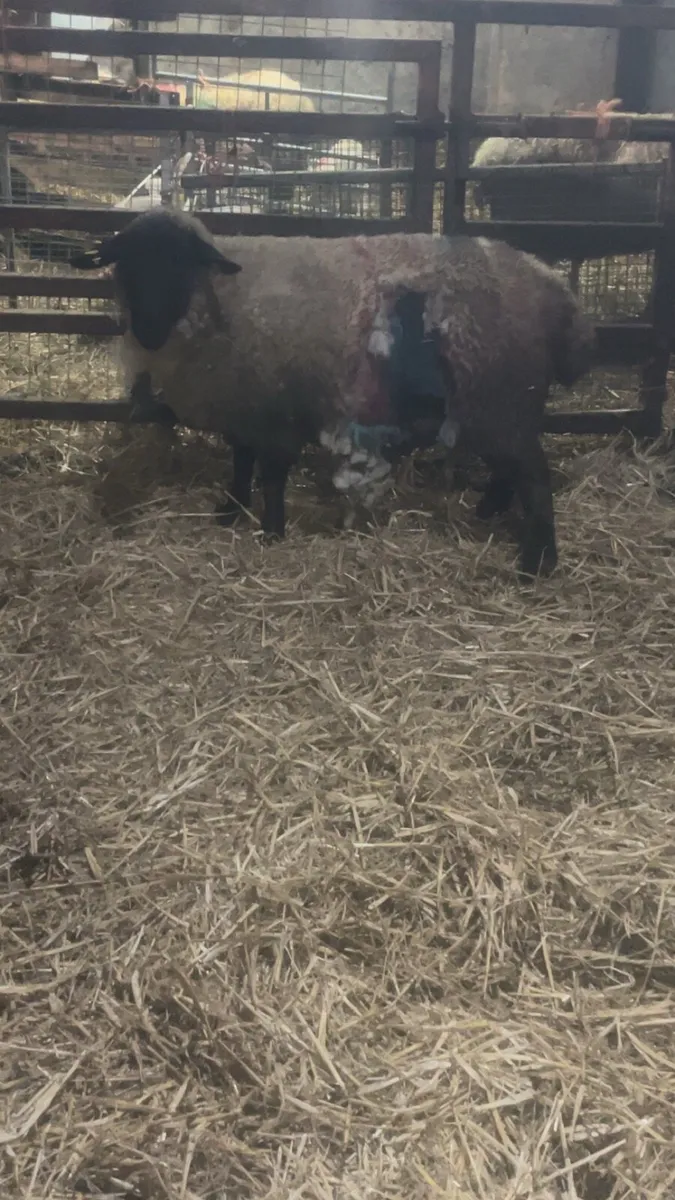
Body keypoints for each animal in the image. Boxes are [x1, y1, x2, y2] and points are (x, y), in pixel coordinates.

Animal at [69, 208, 595, 577]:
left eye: (180, 263)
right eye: (126, 265)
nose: (149, 330)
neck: (224, 301)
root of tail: (558, 295)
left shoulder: (278, 407)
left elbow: (272, 474)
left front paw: (271, 531)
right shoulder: (245, 404)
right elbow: (240, 462)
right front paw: (230, 511)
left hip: (504, 396)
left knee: (535, 477)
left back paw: (537, 564)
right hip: (496, 405)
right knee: (510, 472)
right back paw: (487, 516)